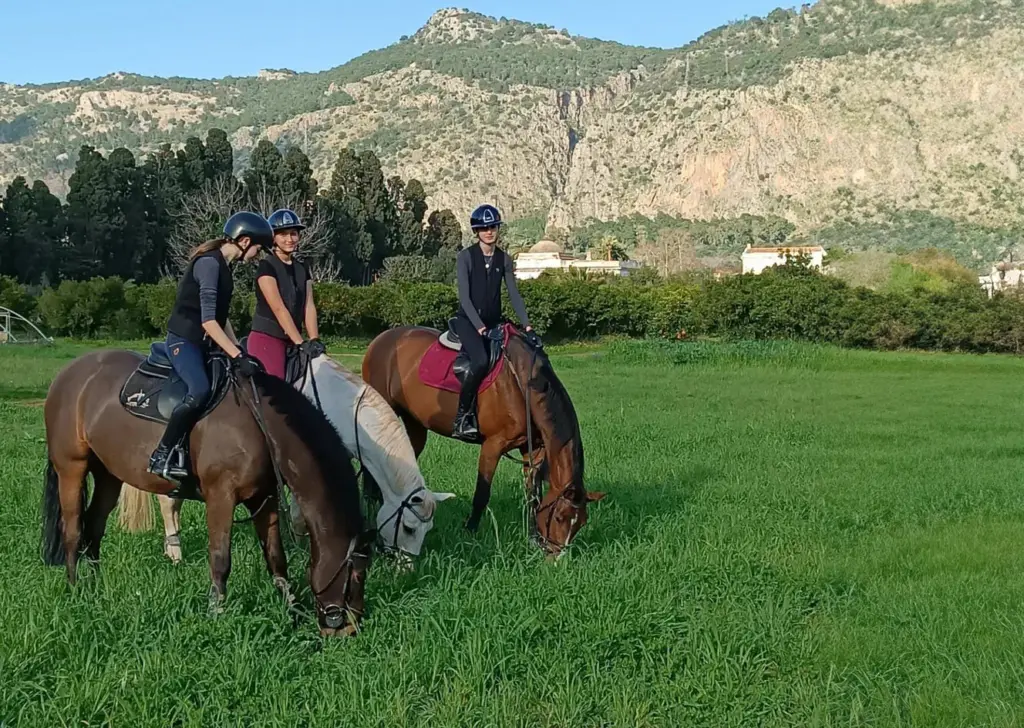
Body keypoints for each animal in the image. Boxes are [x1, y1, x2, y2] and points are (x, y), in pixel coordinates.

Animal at [41, 345, 376, 636]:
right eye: (357, 575)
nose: (348, 630)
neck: (261, 424)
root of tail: (67, 374)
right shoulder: (221, 497)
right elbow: (220, 558)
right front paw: (216, 613)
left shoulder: (264, 499)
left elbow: (276, 558)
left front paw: (291, 612)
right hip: (71, 468)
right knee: (73, 530)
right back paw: (75, 590)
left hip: (109, 475)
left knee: (94, 528)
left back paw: (95, 587)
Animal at [117, 353, 456, 565]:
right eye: (410, 528)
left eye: (427, 530)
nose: (405, 569)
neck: (341, 407)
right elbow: (298, 516)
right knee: (167, 500)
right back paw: (175, 552)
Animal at [361, 322, 605, 556]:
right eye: (560, 517)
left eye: (581, 523)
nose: (555, 556)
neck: (522, 384)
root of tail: (381, 340)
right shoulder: (493, 445)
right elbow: (482, 493)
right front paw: (470, 531)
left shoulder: (532, 451)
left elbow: (533, 496)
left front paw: (533, 538)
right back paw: (371, 502)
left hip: (415, 423)